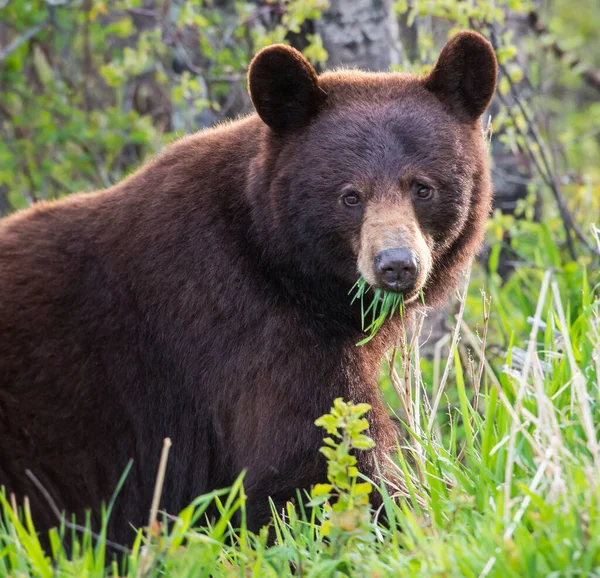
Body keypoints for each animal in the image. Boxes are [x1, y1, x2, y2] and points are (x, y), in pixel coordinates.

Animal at [0, 31, 496, 544]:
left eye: (423, 188)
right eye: (350, 196)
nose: (396, 265)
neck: (272, 254)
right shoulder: (235, 318)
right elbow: (308, 454)